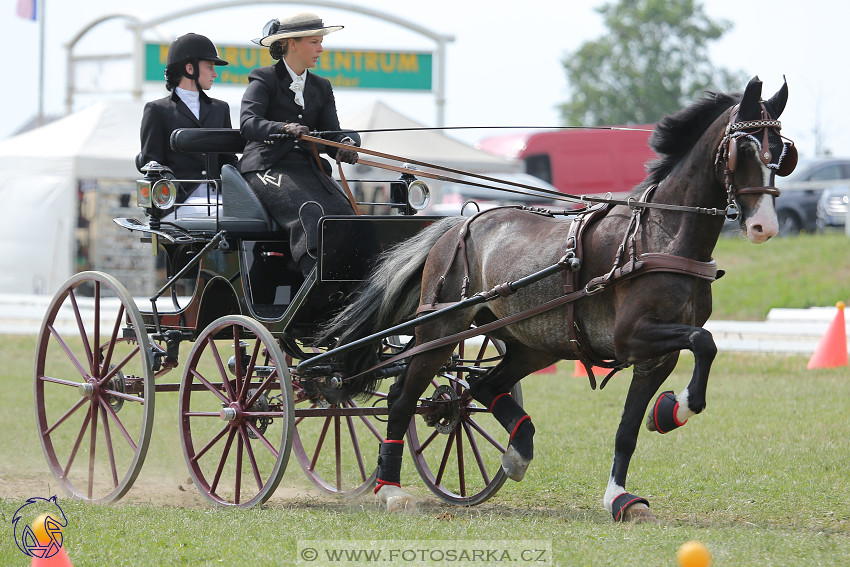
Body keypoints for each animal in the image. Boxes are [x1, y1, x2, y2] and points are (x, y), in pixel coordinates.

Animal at [316, 76, 796, 524]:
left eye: (782, 153)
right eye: (745, 148)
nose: (764, 227)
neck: (661, 236)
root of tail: (455, 225)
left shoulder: (654, 356)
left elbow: (630, 426)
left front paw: (626, 488)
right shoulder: (633, 337)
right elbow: (704, 342)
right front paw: (674, 410)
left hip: (532, 342)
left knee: (482, 385)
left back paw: (517, 452)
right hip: (440, 330)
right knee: (401, 398)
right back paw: (391, 490)